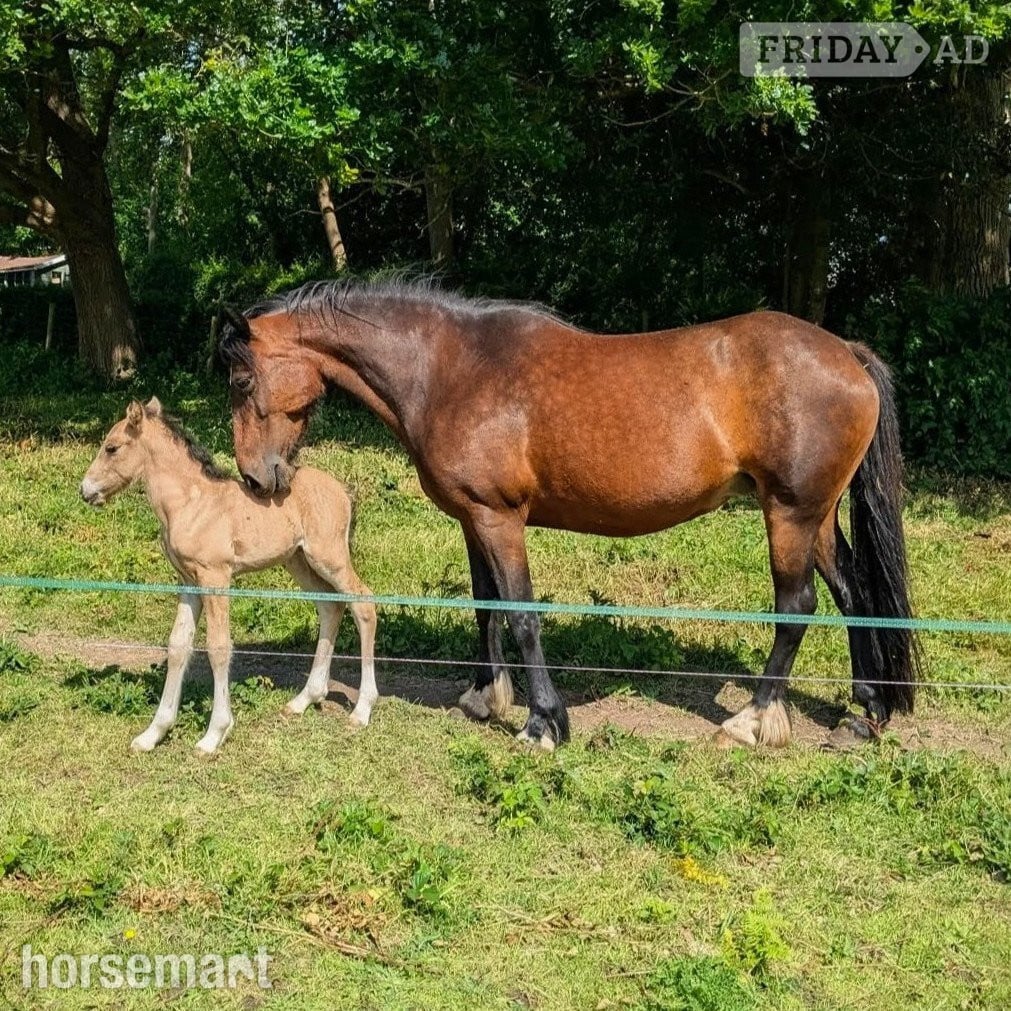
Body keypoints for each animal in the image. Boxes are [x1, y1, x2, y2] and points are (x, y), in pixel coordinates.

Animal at [79, 397, 378, 755]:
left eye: (111, 447)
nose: (85, 490)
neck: (190, 503)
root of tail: (344, 492)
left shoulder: (215, 577)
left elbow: (219, 647)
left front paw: (214, 734)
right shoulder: (188, 581)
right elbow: (178, 645)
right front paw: (152, 734)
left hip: (329, 557)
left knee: (364, 603)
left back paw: (362, 710)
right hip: (299, 562)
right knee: (330, 607)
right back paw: (304, 699)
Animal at [219, 277, 918, 752]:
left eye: (241, 382)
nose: (255, 477)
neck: (450, 369)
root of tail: (846, 353)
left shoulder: (500, 518)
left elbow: (522, 614)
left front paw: (543, 722)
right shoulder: (472, 518)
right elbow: (486, 605)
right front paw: (486, 696)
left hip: (790, 514)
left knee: (796, 607)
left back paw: (751, 719)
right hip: (816, 516)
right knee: (855, 595)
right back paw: (864, 713)